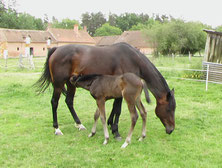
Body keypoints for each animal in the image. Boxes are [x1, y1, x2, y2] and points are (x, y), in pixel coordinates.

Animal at [35, 42, 176, 138]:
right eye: (169, 109)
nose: (171, 129)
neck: (132, 59)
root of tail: (56, 49)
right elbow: (118, 109)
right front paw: (116, 131)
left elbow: (114, 107)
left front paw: (110, 123)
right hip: (58, 84)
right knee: (54, 102)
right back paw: (57, 129)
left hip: (71, 84)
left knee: (69, 101)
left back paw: (79, 124)